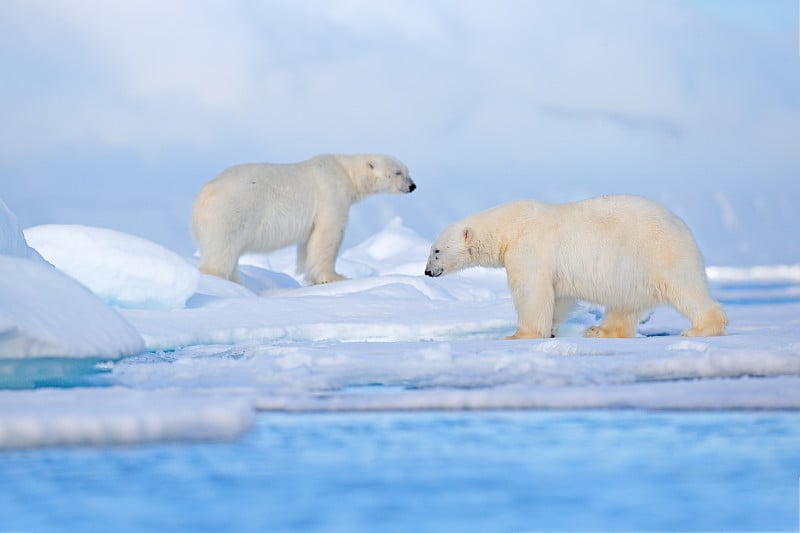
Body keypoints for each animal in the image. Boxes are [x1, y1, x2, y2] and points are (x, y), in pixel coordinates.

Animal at [191, 152, 416, 284]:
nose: (412, 186)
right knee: (222, 251)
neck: (345, 172)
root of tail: (202, 197)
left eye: (407, 170)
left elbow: (308, 242)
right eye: (398, 172)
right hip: (232, 212)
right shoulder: (331, 193)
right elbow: (328, 235)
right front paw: (335, 277)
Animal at [428, 194, 728, 336]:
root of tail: (681, 224)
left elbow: (531, 291)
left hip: (660, 252)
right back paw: (599, 331)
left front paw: (520, 334)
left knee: (686, 289)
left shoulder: (529, 247)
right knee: (626, 303)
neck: (511, 226)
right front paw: (551, 329)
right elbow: (559, 297)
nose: (427, 271)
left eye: (437, 250)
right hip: (634, 269)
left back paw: (700, 328)